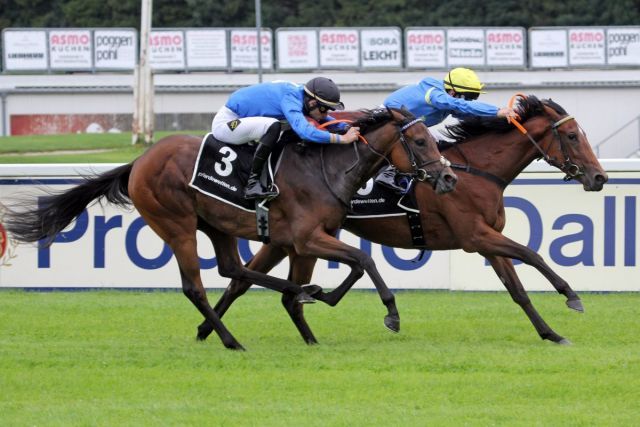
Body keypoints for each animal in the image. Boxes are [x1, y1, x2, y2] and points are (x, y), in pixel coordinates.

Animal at [3, 107, 456, 352]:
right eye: (419, 141)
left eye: (433, 140)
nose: (449, 178)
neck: (326, 168)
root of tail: (140, 161)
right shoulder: (306, 238)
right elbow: (364, 259)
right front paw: (391, 313)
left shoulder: (305, 242)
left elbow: (354, 266)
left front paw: (315, 311)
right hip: (177, 224)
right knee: (196, 288)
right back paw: (231, 339)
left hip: (216, 223)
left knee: (233, 270)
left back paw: (288, 297)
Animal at [209, 95, 608, 346]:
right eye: (572, 136)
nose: (599, 177)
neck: (476, 171)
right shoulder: (475, 236)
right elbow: (532, 254)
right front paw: (571, 296)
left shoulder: (487, 240)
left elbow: (518, 291)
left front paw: (551, 333)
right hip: (302, 238)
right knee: (250, 283)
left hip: (286, 239)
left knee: (241, 281)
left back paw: (206, 330)